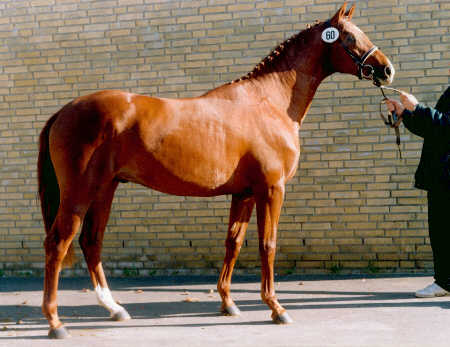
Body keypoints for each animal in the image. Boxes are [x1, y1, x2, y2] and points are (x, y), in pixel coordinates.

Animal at [39, 3, 394, 340]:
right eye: (350, 37)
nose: (387, 69)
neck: (269, 103)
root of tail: (64, 110)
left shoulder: (244, 194)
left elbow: (233, 242)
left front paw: (228, 303)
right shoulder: (271, 189)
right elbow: (268, 244)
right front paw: (276, 307)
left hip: (105, 188)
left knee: (91, 241)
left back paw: (114, 309)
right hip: (80, 192)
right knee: (58, 242)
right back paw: (56, 322)